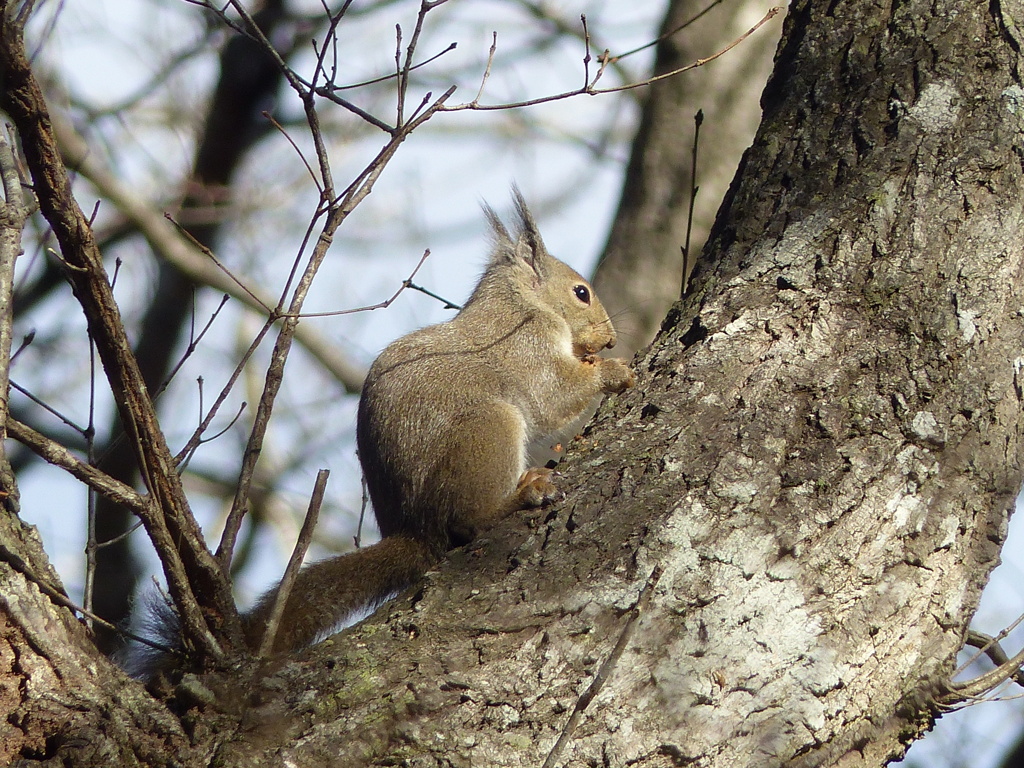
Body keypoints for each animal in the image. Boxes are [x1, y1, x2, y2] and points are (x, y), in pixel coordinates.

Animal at [239, 191, 630, 655]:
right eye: (581, 292)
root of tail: (415, 531)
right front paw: (614, 372)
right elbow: (553, 394)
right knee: (468, 520)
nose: (610, 340)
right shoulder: (525, 345)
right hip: (488, 429)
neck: (521, 303)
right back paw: (523, 495)